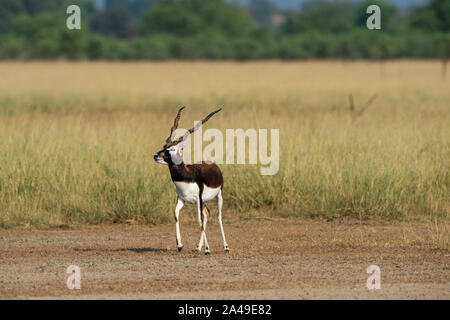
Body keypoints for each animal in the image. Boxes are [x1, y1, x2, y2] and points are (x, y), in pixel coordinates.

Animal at [154, 107, 229, 255]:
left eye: (172, 149)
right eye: (164, 146)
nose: (156, 155)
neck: (187, 177)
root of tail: (214, 165)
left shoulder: (198, 199)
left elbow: (199, 220)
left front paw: (208, 249)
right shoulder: (182, 199)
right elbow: (176, 214)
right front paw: (180, 245)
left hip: (218, 196)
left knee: (218, 217)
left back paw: (225, 247)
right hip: (204, 202)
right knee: (207, 214)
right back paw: (197, 247)